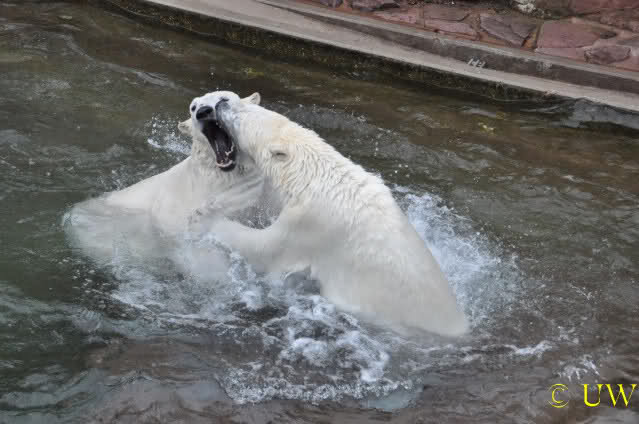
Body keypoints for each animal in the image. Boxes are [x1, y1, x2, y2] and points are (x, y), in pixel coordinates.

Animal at [188, 91, 468, 337]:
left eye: (241, 115)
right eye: (244, 105)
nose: (220, 104)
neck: (316, 177)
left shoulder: (309, 224)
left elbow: (264, 248)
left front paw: (203, 218)